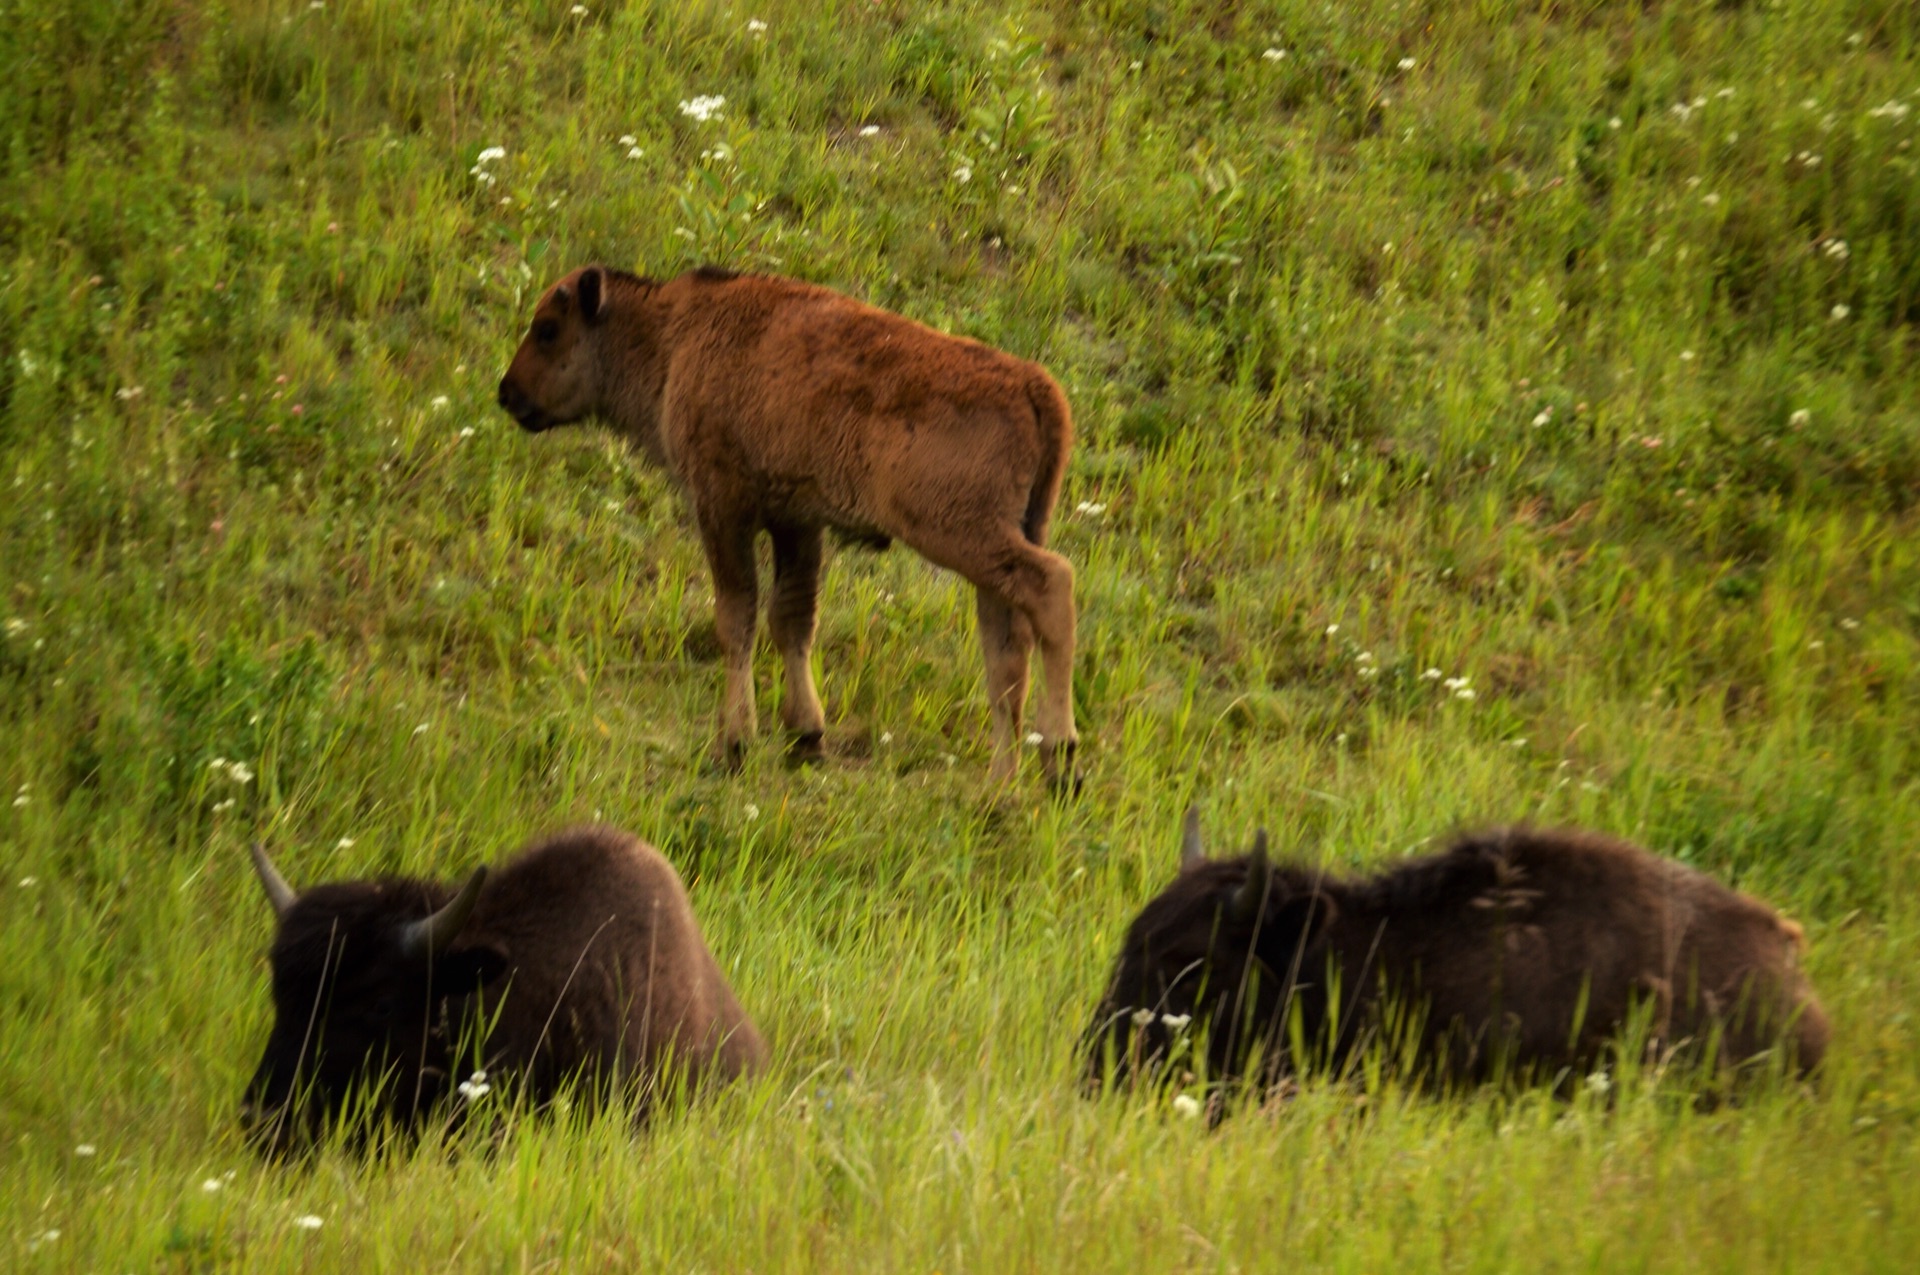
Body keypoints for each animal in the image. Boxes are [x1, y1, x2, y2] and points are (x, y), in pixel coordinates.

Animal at [495, 266, 1082, 787]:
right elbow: (791, 619)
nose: (506, 393)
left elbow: (737, 618)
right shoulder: (798, 523)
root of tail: (1034, 385)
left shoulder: (722, 506)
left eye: (548, 329)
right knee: (1007, 653)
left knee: (1052, 585)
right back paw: (1000, 788)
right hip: (1004, 544)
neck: (674, 336)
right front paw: (806, 736)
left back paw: (1061, 759)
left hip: (962, 535)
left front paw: (734, 743)